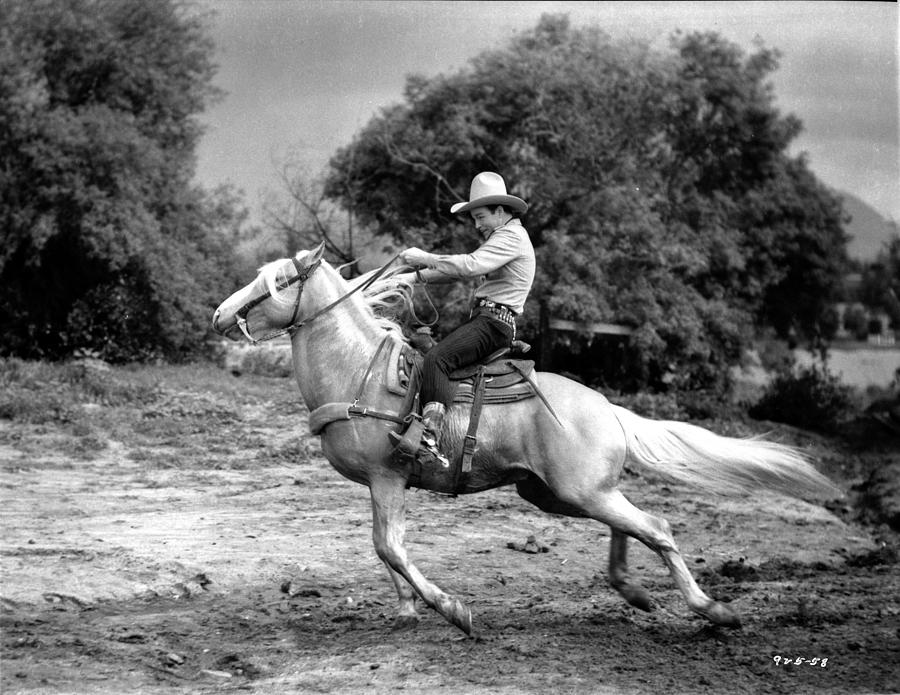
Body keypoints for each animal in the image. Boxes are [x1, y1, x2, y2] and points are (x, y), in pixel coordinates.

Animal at [213, 245, 844, 636]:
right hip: (558, 494)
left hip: (577, 492)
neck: (359, 371)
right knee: (635, 523)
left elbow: (389, 546)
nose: (220, 314)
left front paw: (452, 610)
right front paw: (408, 609)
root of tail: (609, 409)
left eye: (277, 280)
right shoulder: (380, 482)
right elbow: (382, 547)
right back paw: (634, 592)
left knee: (657, 527)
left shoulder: (389, 476)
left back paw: (711, 609)